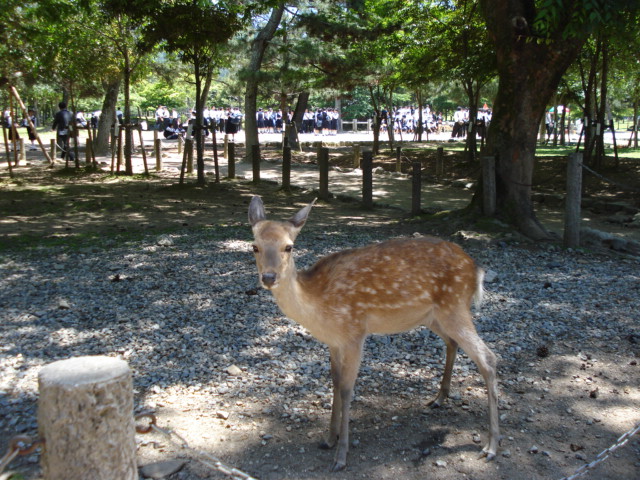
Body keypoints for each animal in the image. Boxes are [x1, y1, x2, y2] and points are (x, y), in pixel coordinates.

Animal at [248, 196, 498, 472]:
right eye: (255, 246)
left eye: (289, 247)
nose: (269, 277)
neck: (318, 306)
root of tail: (476, 270)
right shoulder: (333, 341)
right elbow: (335, 383)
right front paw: (329, 439)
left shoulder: (355, 332)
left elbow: (347, 389)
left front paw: (341, 456)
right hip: (434, 316)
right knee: (453, 343)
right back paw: (439, 398)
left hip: (454, 306)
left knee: (488, 358)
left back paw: (491, 446)